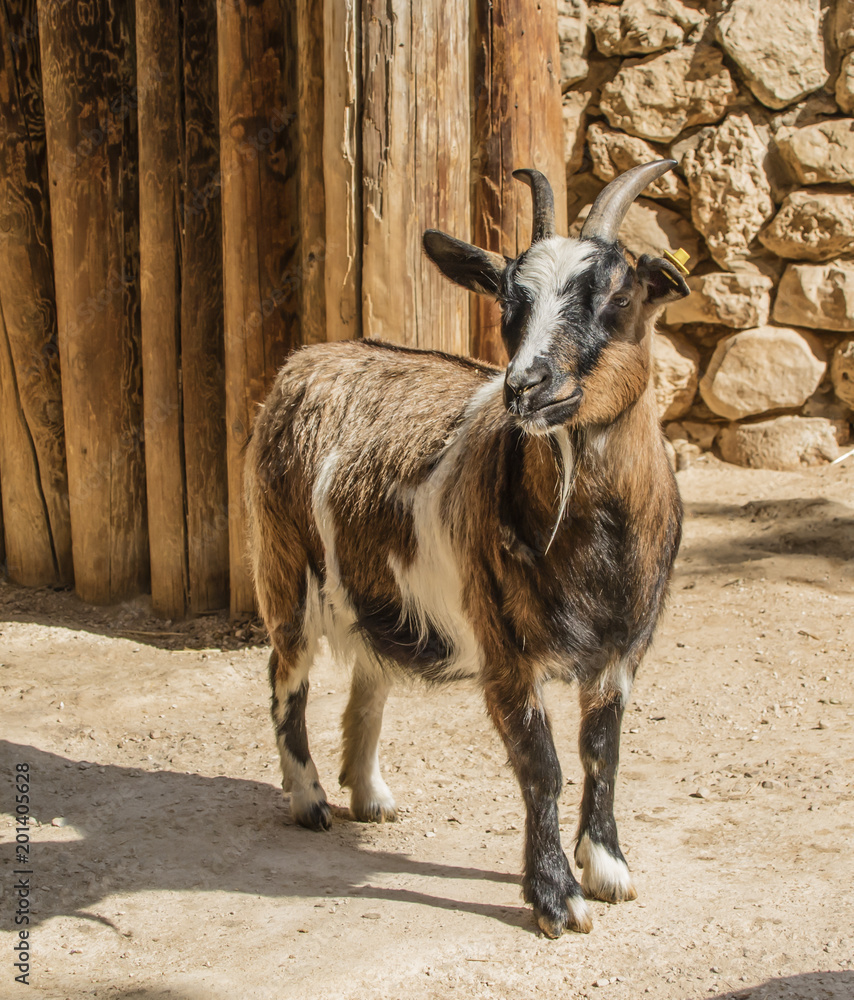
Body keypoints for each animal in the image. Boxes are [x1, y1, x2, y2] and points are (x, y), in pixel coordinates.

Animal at [245, 160, 690, 937]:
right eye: (509, 299)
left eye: (621, 293)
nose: (526, 387)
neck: (596, 543)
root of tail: (308, 357)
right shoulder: (504, 645)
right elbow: (541, 765)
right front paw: (555, 898)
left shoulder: (623, 646)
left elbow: (601, 751)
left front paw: (608, 867)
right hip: (284, 564)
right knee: (285, 675)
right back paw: (309, 800)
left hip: (375, 586)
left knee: (370, 672)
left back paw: (369, 794)